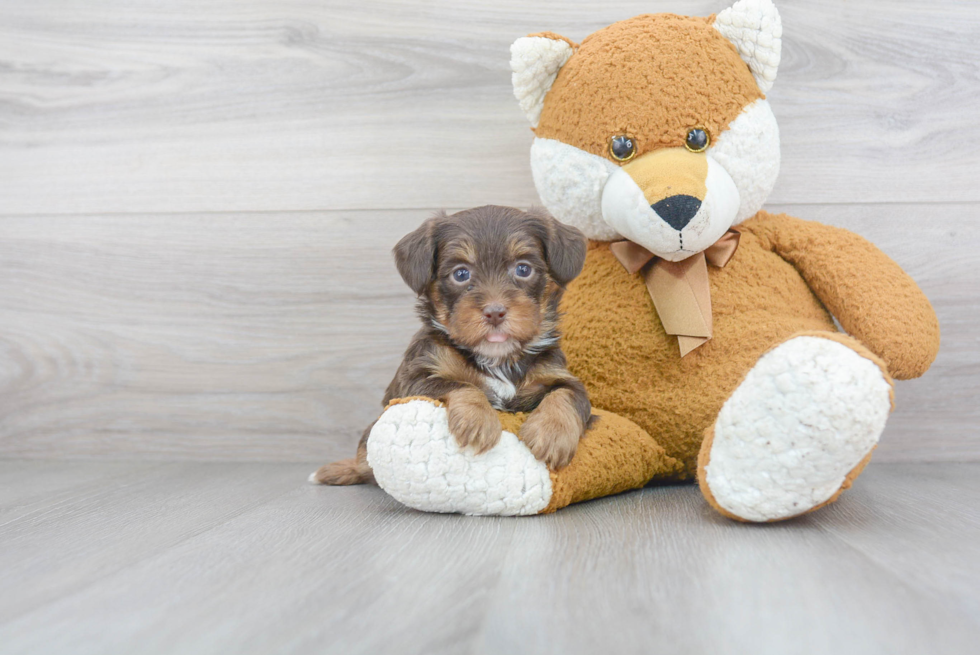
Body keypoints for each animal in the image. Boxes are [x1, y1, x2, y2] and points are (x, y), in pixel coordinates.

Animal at [310, 205, 592, 486]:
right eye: (461, 273)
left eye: (523, 269)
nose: (495, 312)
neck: (497, 359)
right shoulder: (414, 380)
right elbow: (461, 384)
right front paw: (478, 421)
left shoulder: (557, 374)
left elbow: (567, 394)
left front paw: (552, 434)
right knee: (364, 456)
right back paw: (337, 470)